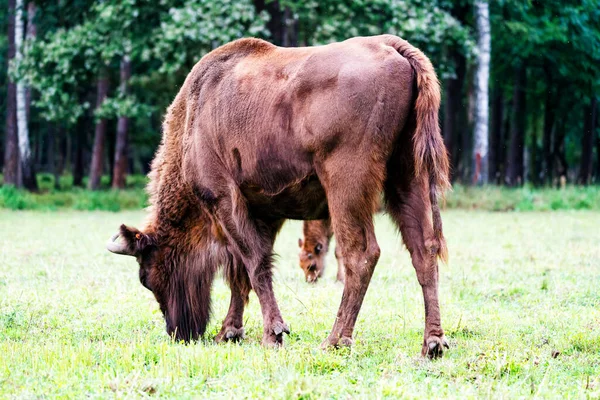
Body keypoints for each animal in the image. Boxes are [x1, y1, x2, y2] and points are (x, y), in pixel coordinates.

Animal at [106, 34, 450, 358]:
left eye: (148, 277)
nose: (178, 332)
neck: (194, 115)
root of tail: (392, 47)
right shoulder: (264, 211)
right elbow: (243, 272)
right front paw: (230, 331)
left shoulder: (223, 198)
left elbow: (253, 263)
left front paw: (272, 334)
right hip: (408, 178)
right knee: (424, 249)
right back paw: (432, 343)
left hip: (347, 183)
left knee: (361, 254)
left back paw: (334, 341)